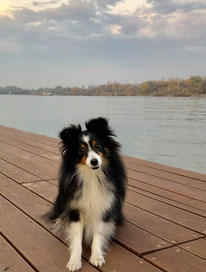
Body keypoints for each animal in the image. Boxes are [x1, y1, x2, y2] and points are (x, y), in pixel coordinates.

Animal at [46, 117, 125, 270]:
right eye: (81, 150)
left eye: (98, 146)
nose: (94, 161)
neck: (92, 175)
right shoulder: (75, 210)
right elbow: (77, 238)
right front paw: (74, 261)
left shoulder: (103, 206)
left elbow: (98, 234)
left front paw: (97, 257)